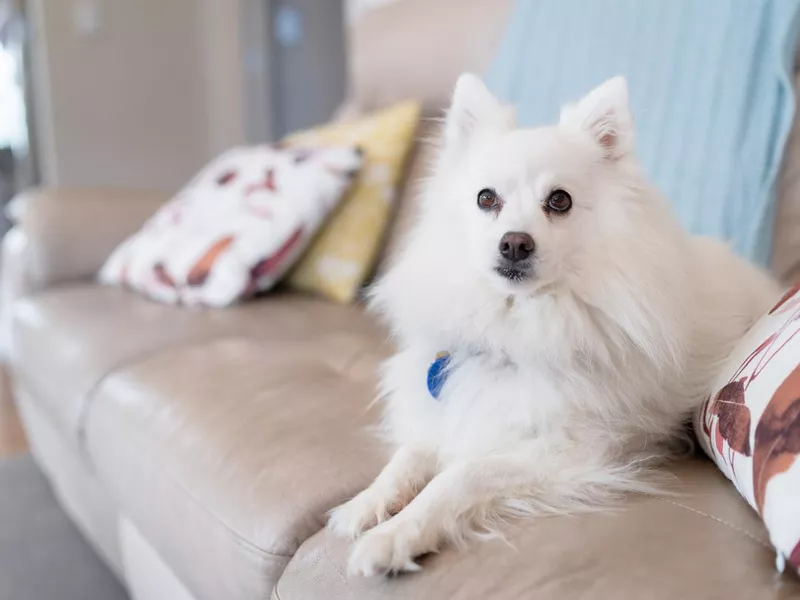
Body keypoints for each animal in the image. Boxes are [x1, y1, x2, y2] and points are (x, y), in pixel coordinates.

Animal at [326, 74, 780, 576]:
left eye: (559, 201)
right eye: (486, 199)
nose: (514, 243)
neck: (518, 322)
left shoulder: (571, 450)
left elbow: (461, 474)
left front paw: (395, 535)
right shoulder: (454, 412)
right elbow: (410, 455)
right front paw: (366, 503)